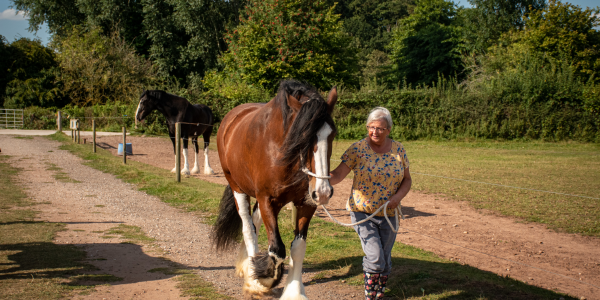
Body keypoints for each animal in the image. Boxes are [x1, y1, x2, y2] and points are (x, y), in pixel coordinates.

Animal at [212, 80, 338, 300]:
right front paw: (262, 280)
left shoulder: (306, 204)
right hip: (238, 188)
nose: (323, 192)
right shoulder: (267, 200)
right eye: (303, 136)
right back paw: (252, 276)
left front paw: (294, 291)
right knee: (248, 228)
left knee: (255, 221)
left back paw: (247, 265)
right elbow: (277, 249)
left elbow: (298, 247)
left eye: (332, 135)